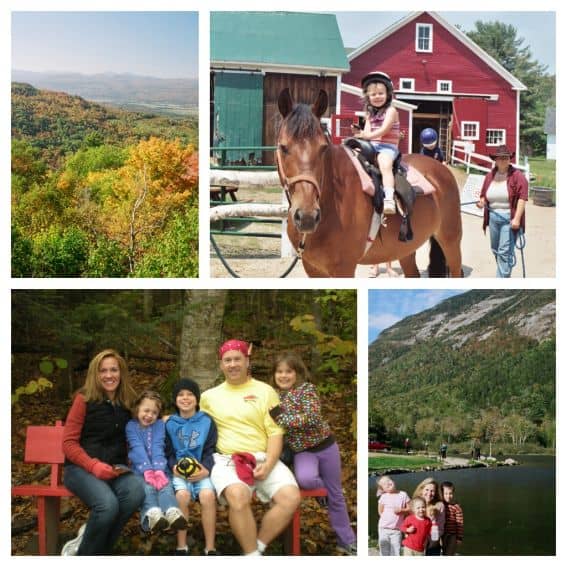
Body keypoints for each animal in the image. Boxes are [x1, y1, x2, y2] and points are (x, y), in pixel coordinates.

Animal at [278, 87, 464, 278]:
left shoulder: (344, 268)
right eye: (283, 147)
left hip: (451, 241)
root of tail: (441, 168)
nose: (307, 217)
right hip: (405, 249)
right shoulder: (312, 268)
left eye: (323, 148)